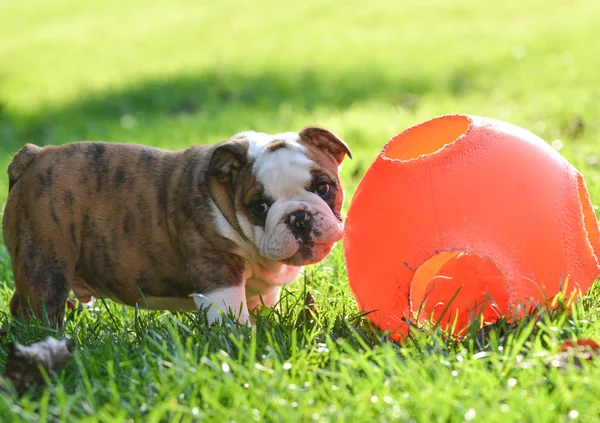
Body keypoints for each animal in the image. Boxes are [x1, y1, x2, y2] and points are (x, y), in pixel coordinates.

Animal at [2, 126, 352, 328]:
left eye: (323, 187)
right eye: (259, 206)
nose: (298, 217)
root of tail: (33, 156)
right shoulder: (218, 271)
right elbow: (230, 315)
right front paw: (240, 343)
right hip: (46, 263)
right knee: (39, 308)